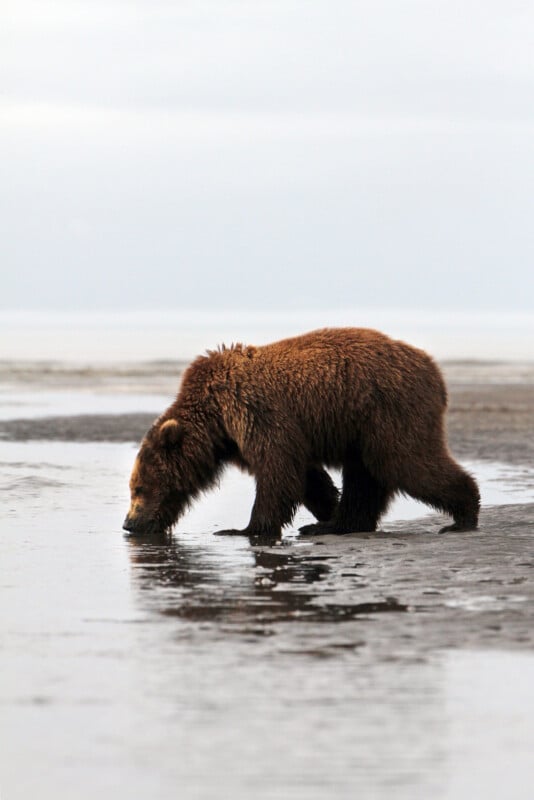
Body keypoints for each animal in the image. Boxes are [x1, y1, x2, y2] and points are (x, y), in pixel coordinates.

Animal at [123, 328, 480, 538]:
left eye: (139, 488)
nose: (128, 523)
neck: (217, 420)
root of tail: (434, 369)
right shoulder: (245, 436)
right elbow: (306, 476)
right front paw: (326, 510)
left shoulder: (254, 411)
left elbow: (278, 470)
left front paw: (243, 529)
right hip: (362, 425)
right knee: (365, 476)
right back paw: (338, 525)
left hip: (389, 409)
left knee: (407, 461)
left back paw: (463, 515)